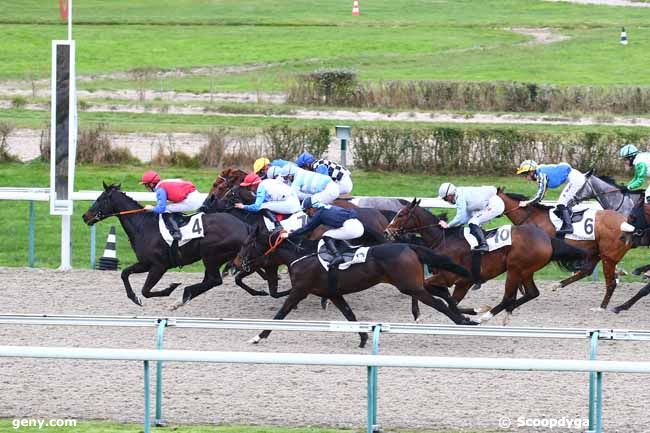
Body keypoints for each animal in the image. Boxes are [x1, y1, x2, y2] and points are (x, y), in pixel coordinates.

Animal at [80, 184, 274, 306]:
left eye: (100, 199)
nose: (84, 216)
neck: (143, 225)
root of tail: (245, 226)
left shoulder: (159, 265)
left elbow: (146, 290)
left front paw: (171, 287)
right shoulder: (145, 263)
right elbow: (125, 274)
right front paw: (134, 298)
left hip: (211, 255)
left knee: (214, 279)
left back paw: (185, 293)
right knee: (218, 278)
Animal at [235, 224, 474, 346]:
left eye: (247, 244)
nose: (237, 263)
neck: (300, 255)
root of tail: (409, 246)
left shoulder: (300, 290)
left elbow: (280, 314)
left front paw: (258, 336)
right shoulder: (333, 293)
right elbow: (349, 314)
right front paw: (363, 338)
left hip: (410, 286)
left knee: (439, 303)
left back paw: (462, 322)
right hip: (414, 283)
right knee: (442, 292)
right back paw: (467, 317)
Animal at [382, 198, 584, 320]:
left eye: (401, 214)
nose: (386, 231)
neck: (443, 240)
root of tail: (546, 238)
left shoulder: (452, 278)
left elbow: (426, 288)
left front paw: (417, 313)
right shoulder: (462, 282)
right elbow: (448, 299)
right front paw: (468, 312)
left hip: (515, 268)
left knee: (508, 297)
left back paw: (486, 317)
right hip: (527, 270)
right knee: (532, 293)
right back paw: (504, 314)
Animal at [496, 189, 628, 310]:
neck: (533, 218)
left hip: (608, 256)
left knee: (611, 282)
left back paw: (602, 307)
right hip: (596, 252)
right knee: (586, 271)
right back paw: (557, 285)